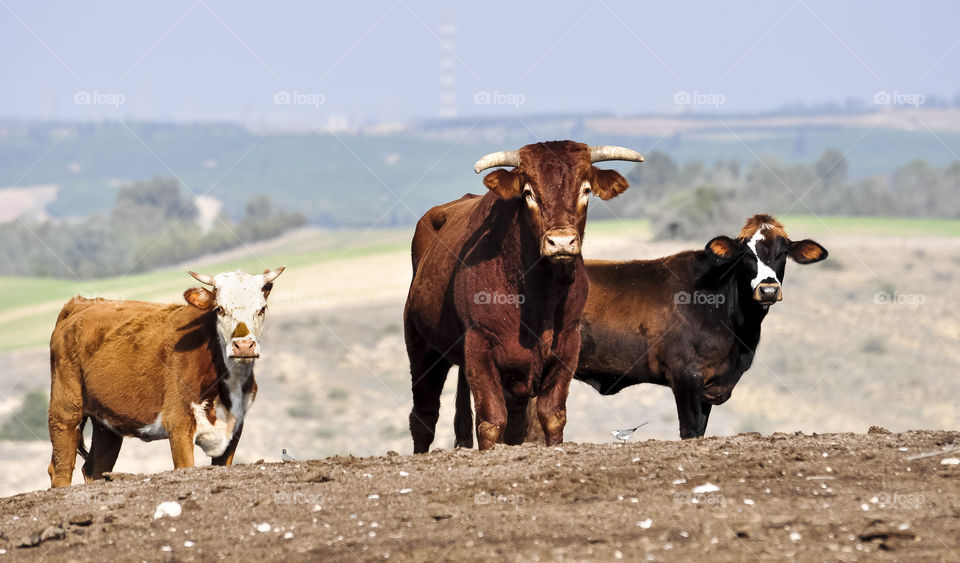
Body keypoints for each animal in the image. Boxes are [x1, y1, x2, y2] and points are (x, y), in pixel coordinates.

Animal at [47, 266, 284, 486]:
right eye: (219, 309)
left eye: (262, 309)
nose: (243, 345)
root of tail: (81, 303)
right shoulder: (178, 423)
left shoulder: (234, 428)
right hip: (65, 410)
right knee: (61, 466)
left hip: (106, 422)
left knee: (95, 467)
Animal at [402, 142, 640, 454]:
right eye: (528, 193)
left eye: (586, 190)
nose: (561, 242)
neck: (537, 296)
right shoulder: (479, 346)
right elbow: (491, 422)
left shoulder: (567, 345)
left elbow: (551, 415)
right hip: (422, 346)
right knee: (424, 416)